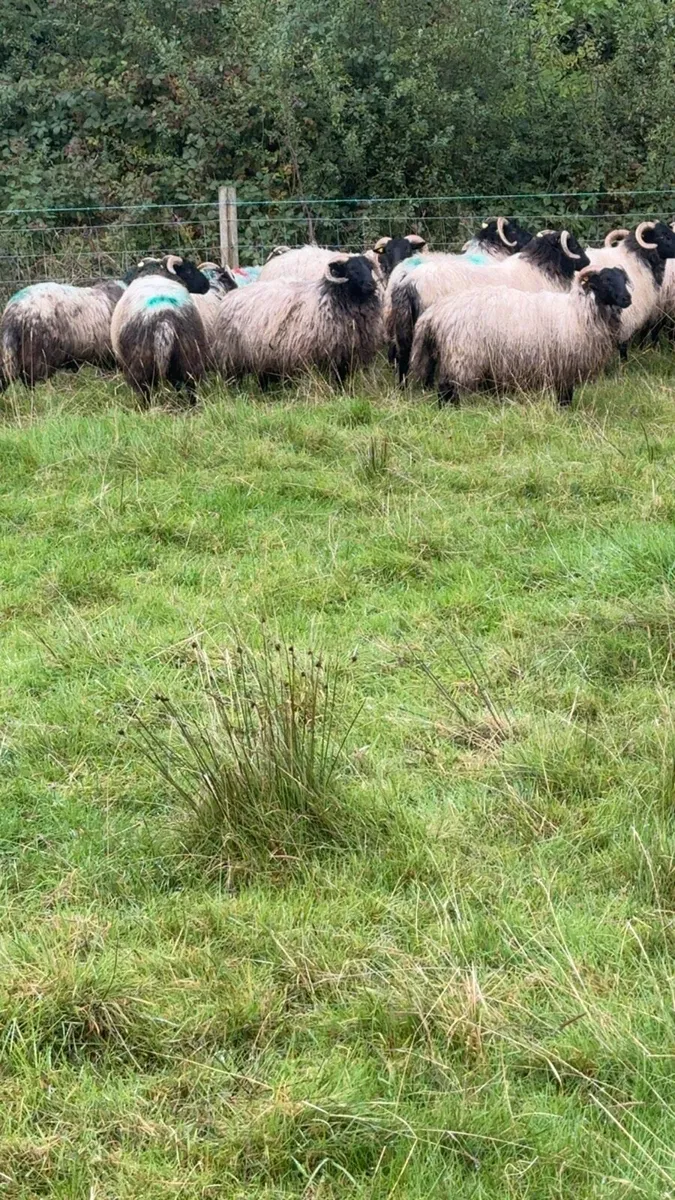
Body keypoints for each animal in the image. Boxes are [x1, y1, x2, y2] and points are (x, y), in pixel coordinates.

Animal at [110, 255, 210, 403]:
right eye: (189, 271)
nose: (207, 285)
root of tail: (164, 321)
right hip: (188, 355)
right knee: (188, 386)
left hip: (141, 364)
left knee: (146, 391)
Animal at [211, 253, 382, 386]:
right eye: (352, 270)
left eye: (370, 268)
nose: (371, 285)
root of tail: (229, 296)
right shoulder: (330, 354)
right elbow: (336, 378)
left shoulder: (346, 353)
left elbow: (342, 378)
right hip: (232, 356)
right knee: (234, 379)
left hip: (263, 355)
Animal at [388, 229, 589, 381]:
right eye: (573, 244)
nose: (587, 262)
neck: (539, 269)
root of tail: (408, 282)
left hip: (404, 324)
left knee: (403, 355)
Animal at [410, 265, 631, 408]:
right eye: (606, 280)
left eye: (623, 279)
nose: (627, 298)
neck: (578, 312)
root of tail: (436, 312)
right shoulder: (564, 364)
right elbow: (565, 396)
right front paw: (564, 413)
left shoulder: (562, 367)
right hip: (461, 356)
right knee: (446, 388)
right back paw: (451, 411)